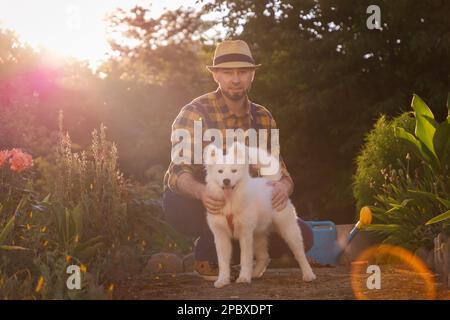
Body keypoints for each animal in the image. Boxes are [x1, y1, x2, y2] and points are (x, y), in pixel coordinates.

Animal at [204, 142, 316, 288]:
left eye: (234, 171)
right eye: (220, 171)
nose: (226, 181)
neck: (230, 202)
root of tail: (271, 183)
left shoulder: (245, 234)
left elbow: (245, 258)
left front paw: (243, 278)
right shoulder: (221, 236)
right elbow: (223, 262)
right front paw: (222, 280)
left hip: (289, 230)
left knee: (300, 254)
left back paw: (309, 274)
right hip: (258, 235)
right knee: (264, 256)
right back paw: (255, 273)